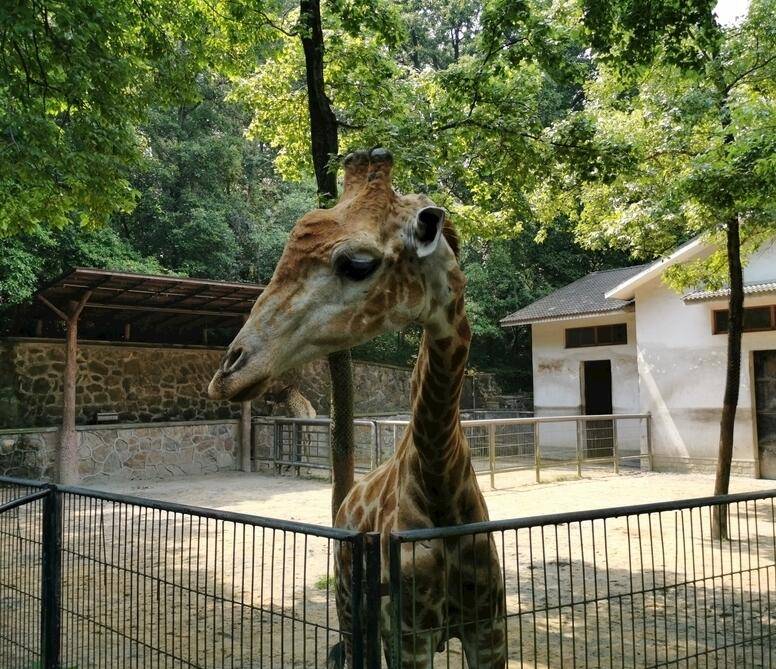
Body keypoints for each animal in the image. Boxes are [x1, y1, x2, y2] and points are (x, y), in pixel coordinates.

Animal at [209, 149, 506, 664]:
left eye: (357, 263)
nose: (227, 373)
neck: (441, 483)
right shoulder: (409, 635)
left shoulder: (489, 630)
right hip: (352, 606)